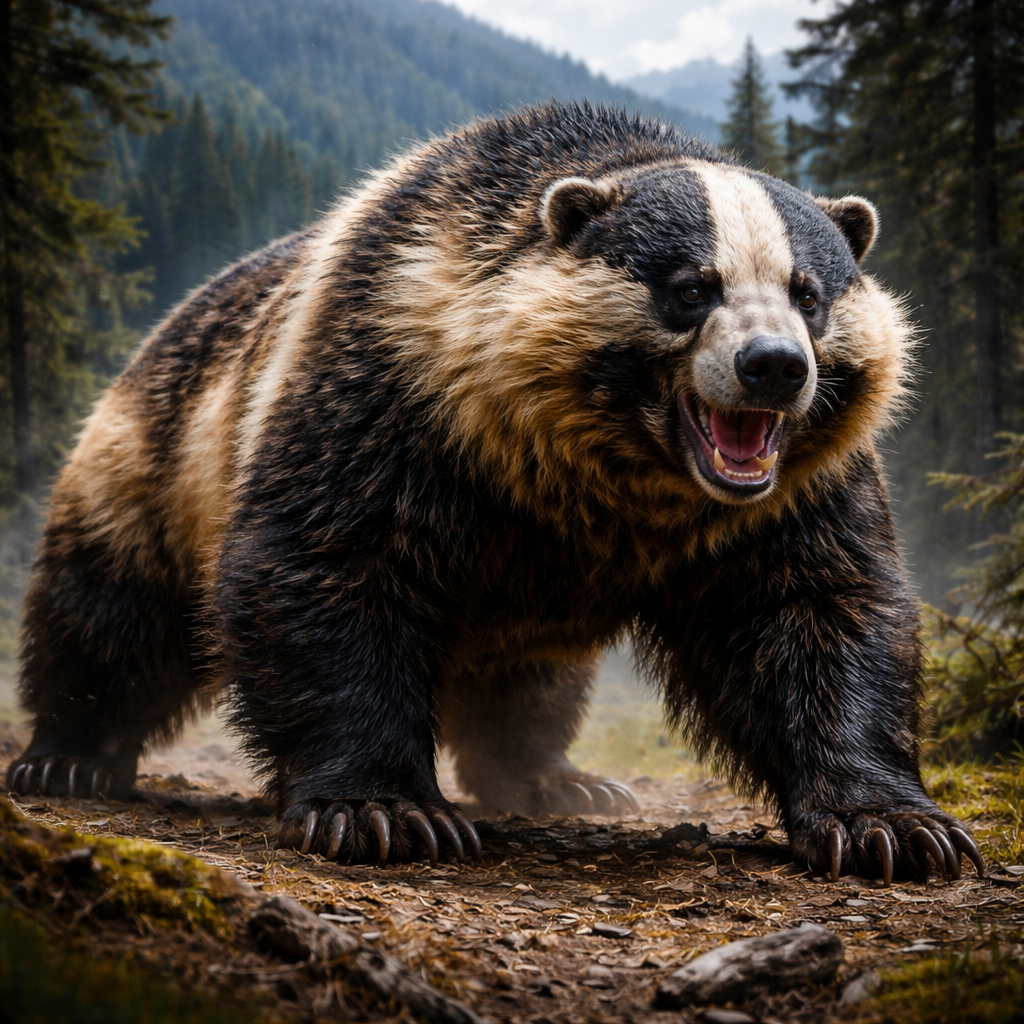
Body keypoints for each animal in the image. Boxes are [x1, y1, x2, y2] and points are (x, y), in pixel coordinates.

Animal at [7, 103, 984, 882]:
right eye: (690, 287)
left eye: (810, 292)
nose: (774, 366)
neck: (600, 471)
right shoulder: (395, 385)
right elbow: (327, 562)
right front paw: (382, 809)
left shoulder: (792, 492)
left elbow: (819, 608)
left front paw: (892, 826)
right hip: (151, 459)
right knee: (108, 608)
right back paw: (68, 756)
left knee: (534, 682)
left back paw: (562, 777)